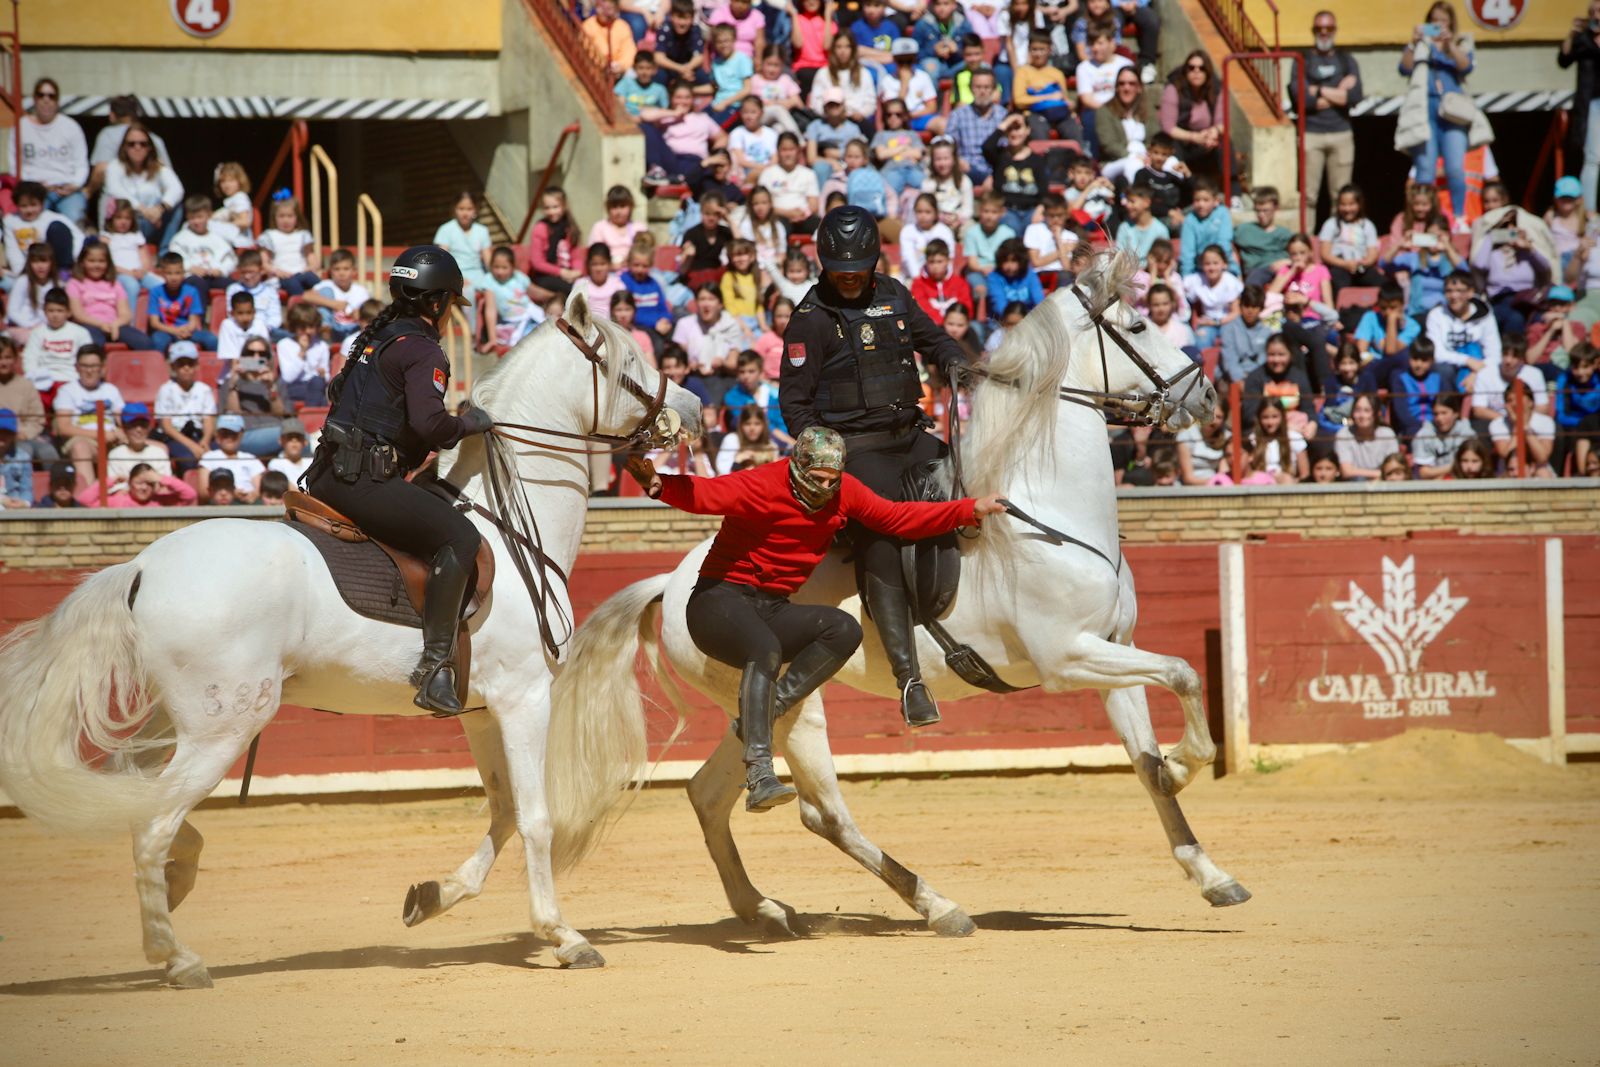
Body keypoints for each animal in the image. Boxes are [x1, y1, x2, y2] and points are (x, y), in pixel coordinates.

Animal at [0, 289, 704, 985]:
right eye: (630, 366)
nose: (695, 409)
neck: (505, 527)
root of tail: (142, 566)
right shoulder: (525, 698)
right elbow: (535, 818)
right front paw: (564, 935)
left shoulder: (481, 710)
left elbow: (504, 810)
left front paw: (433, 897)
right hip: (220, 727)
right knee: (151, 822)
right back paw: (177, 956)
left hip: (170, 723)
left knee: (143, 802)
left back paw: (174, 892)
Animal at [544, 251, 1254, 940]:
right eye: (1139, 324)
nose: (1206, 394)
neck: (1047, 513)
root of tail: (675, 583)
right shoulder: (1068, 659)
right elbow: (1187, 673)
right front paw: (1185, 766)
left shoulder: (1114, 649)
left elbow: (1144, 753)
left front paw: (1211, 873)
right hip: (801, 711)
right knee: (821, 813)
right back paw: (936, 905)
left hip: (757, 699)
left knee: (709, 790)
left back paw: (764, 909)